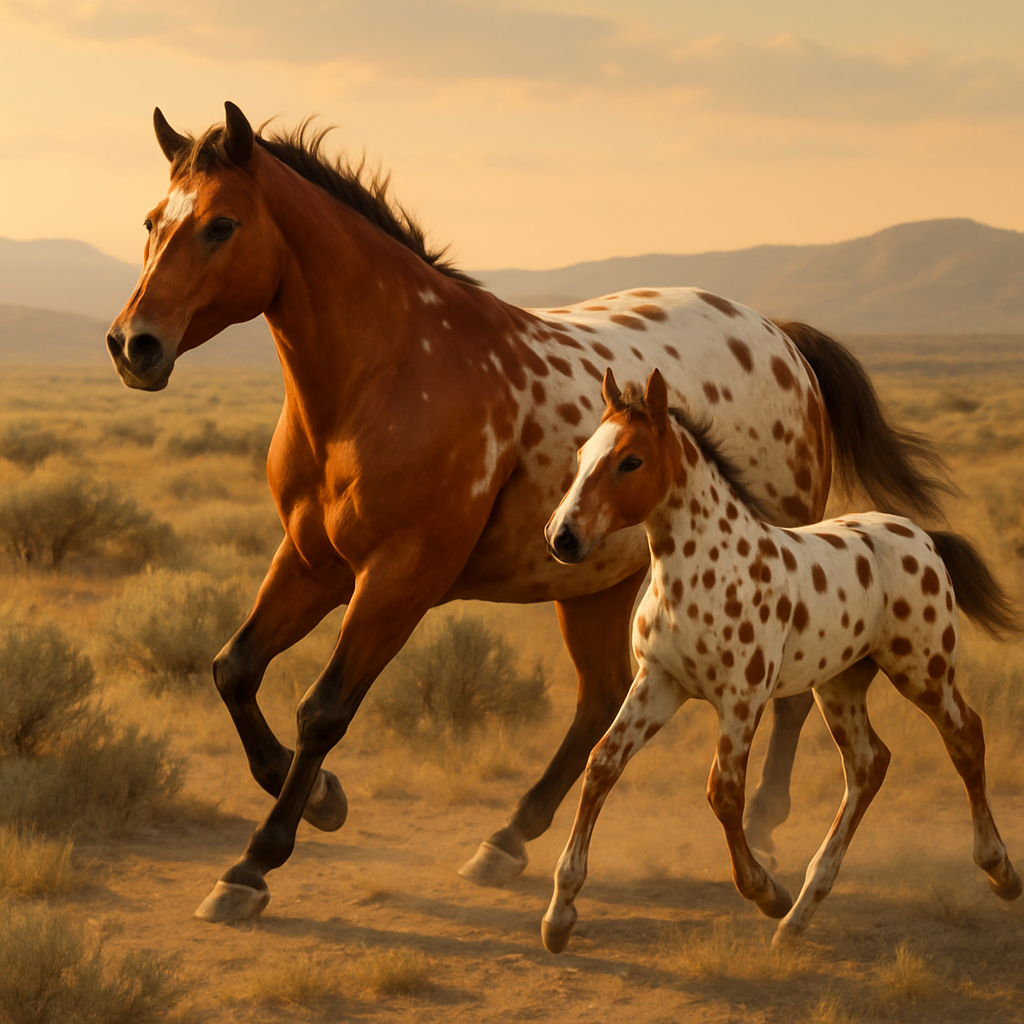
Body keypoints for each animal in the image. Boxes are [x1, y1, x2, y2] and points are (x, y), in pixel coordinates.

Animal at [106, 101, 950, 923]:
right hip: (600, 583)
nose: (132, 345)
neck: (385, 373)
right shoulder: (313, 561)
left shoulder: (398, 578)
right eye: (151, 221)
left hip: (769, 559)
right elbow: (234, 669)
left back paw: (768, 826)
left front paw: (255, 863)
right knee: (601, 698)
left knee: (790, 694)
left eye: (222, 225)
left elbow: (323, 710)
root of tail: (785, 341)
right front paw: (322, 800)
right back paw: (508, 838)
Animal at [541, 368, 1021, 951]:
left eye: (630, 460)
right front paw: (559, 915)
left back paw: (999, 871)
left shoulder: (741, 699)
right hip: (839, 685)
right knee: (869, 764)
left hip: (923, 670)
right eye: (583, 451)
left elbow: (723, 793)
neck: (702, 572)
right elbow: (603, 764)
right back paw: (801, 914)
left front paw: (766, 891)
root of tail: (922, 536)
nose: (562, 537)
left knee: (965, 736)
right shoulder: (659, 683)